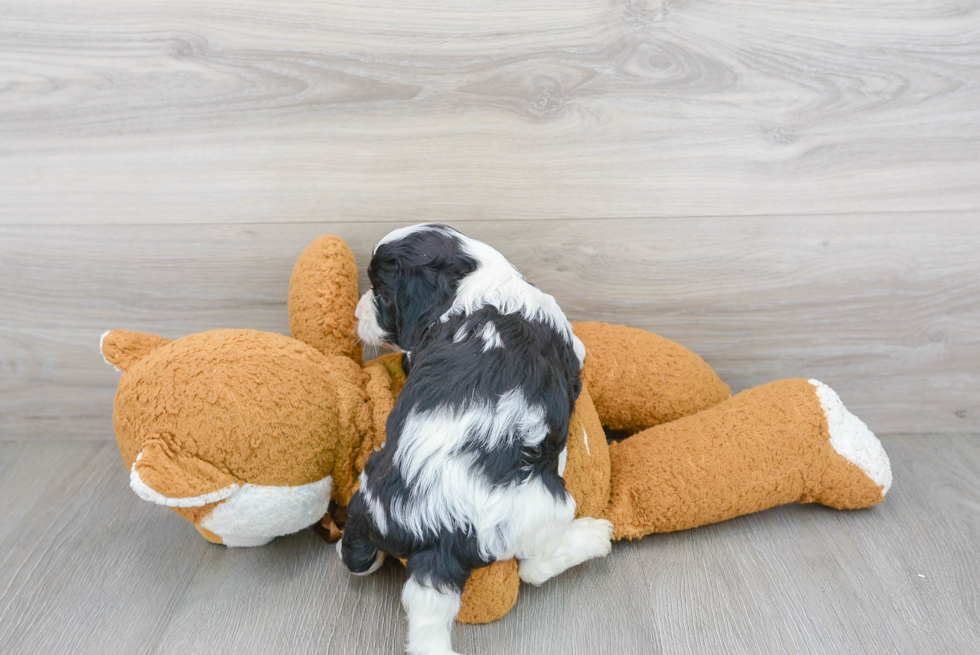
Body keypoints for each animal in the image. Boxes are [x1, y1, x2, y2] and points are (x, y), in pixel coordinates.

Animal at [338, 224, 612, 655]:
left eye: (381, 292)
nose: (356, 313)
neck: (477, 279)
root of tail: (435, 530)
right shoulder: (570, 342)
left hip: (368, 489)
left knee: (356, 555)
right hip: (544, 502)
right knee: (533, 567)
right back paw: (595, 536)